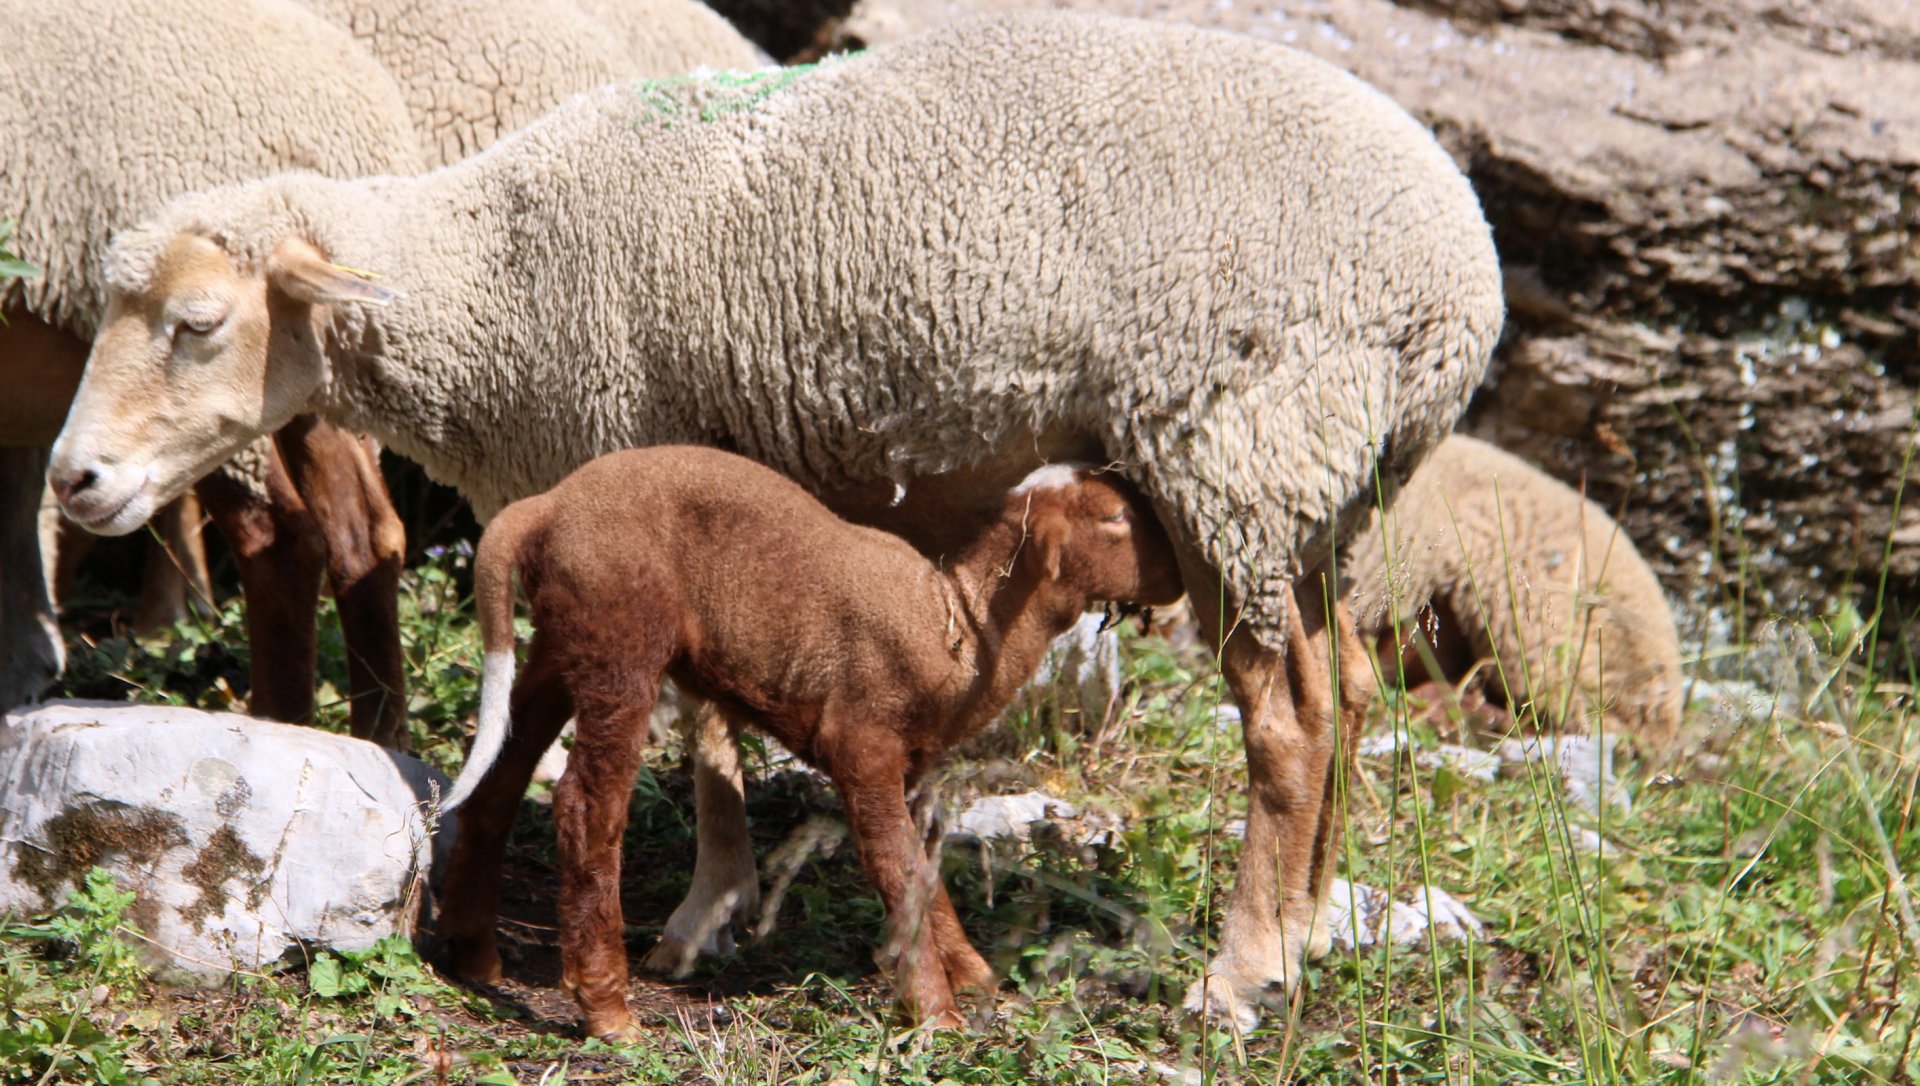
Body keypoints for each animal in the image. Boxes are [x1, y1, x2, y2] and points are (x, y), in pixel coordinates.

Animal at [0, 0, 421, 745]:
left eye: (197, 324)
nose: (74, 478)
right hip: (313, 380)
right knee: (363, 534)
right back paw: (379, 735)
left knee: (282, 541)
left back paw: (278, 723)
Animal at [436, 446, 1185, 1035]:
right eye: (1115, 519)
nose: (1178, 578)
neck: (960, 627)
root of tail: (547, 506)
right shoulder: (863, 744)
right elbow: (897, 866)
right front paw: (935, 1012)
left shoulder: (909, 765)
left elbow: (925, 868)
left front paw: (971, 974)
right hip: (619, 637)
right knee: (587, 808)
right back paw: (607, 1010)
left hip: (566, 639)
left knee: (502, 774)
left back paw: (474, 954)